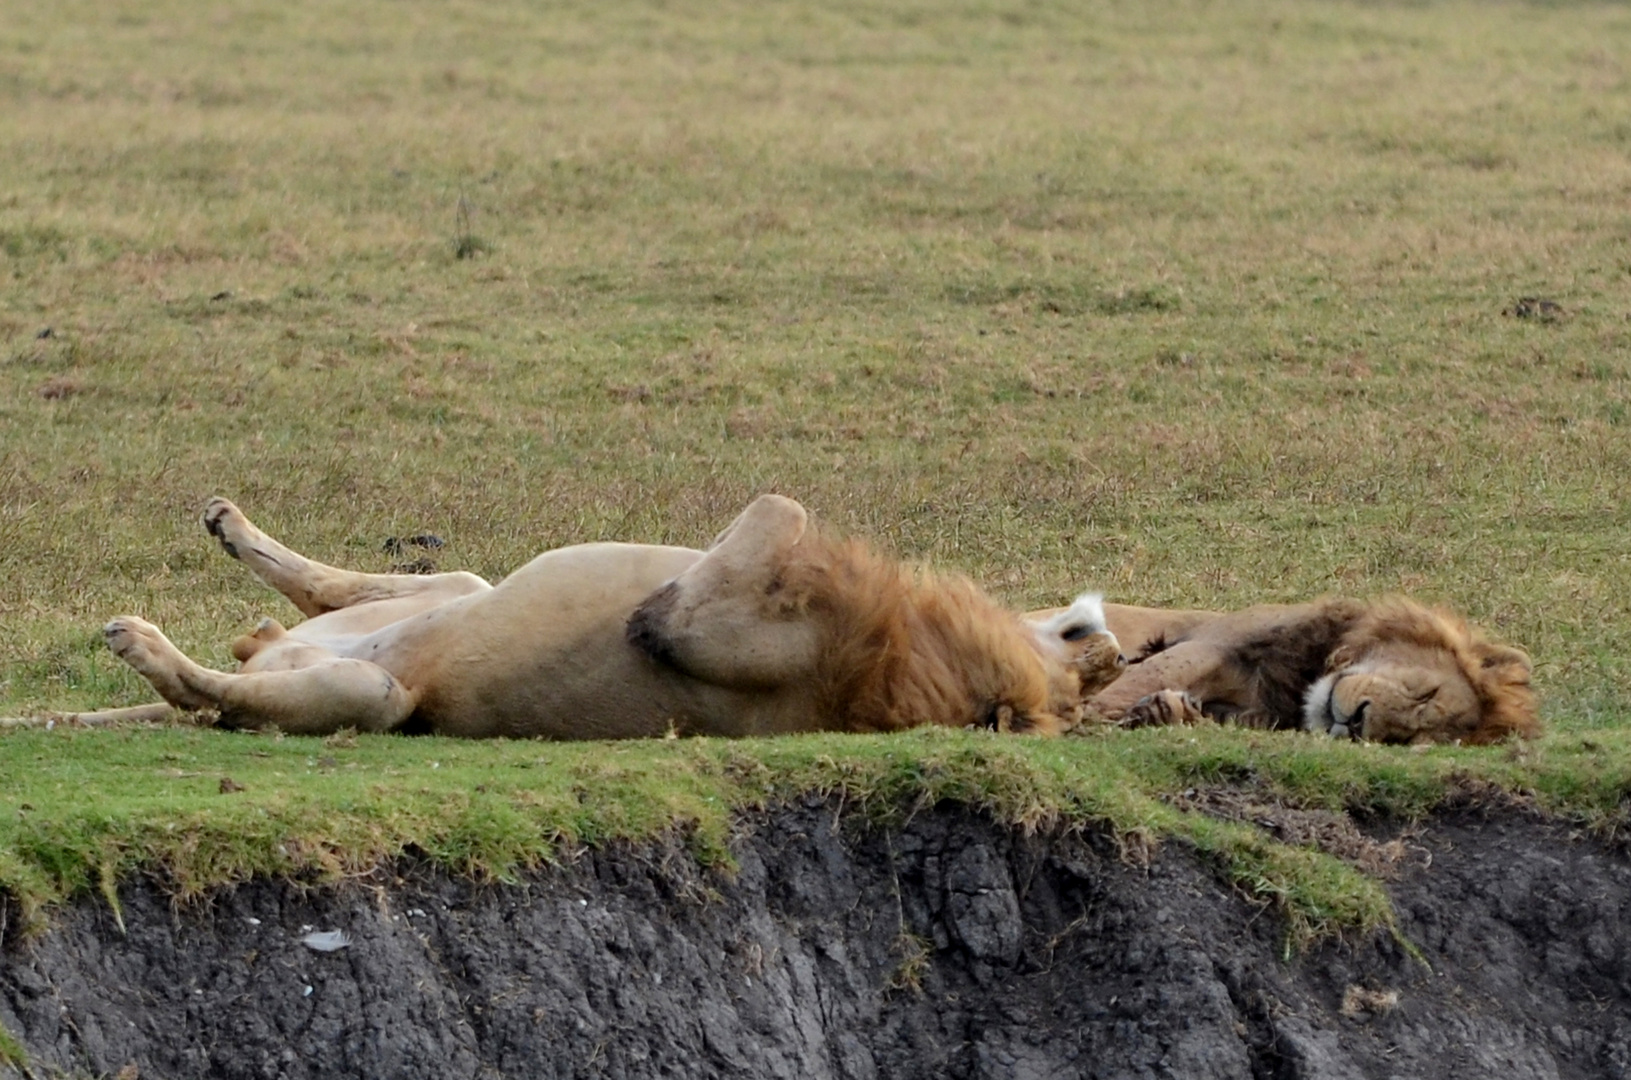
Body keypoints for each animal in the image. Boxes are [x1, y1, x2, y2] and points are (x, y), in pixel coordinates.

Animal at [1063, 600, 1533, 743]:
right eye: (1426, 692)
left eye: (1401, 740)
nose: (1358, 722)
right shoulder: (1209, 645)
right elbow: (1131, 682)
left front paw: (1168, 713)